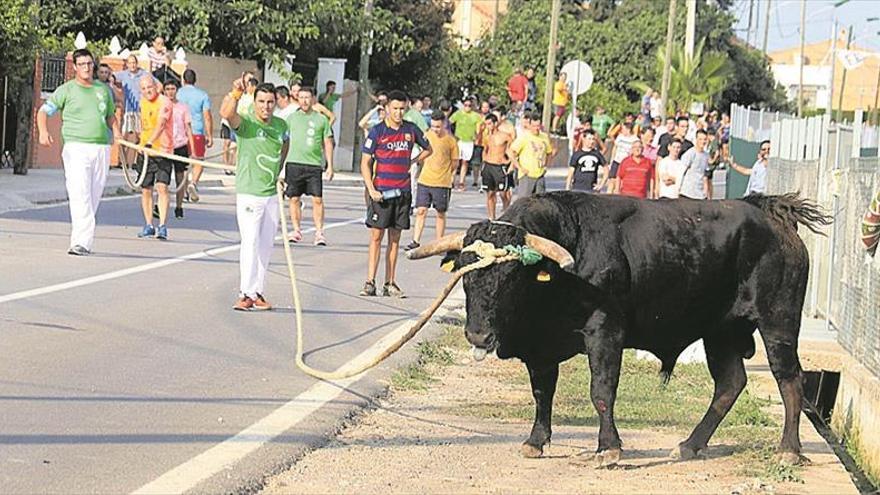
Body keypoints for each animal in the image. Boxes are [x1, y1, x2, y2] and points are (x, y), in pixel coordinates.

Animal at [408, 192, 832, 466]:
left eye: (511, 276)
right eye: (466, 274)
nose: (478, 336)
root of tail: (773, 215)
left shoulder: (605, 331)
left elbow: (601, 391)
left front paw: (608, 448)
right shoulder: (541, 349)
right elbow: (542, 393)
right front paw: (536, 441)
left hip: (778, 322)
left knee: (790, 380)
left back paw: (789, 450)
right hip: (721, 331)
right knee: (730, 384)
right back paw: (690, 445)